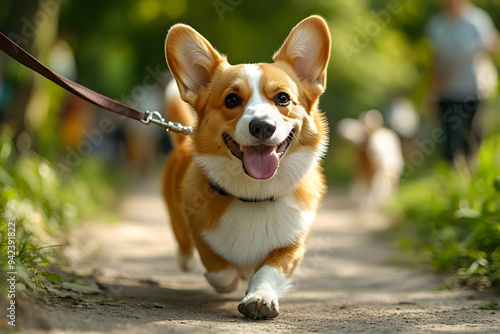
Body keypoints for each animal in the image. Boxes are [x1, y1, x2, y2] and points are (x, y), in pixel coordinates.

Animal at [162, 15, 330, 318]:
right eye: (231, 100)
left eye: (283, 98)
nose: (262, 126)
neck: (255, 195)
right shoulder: (200, 232)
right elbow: (220, 271)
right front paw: (234, 277)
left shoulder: (293, 244)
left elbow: (269, 271)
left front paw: (260, 297)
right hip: (174, 214)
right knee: (183, 244)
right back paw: (186, 259)